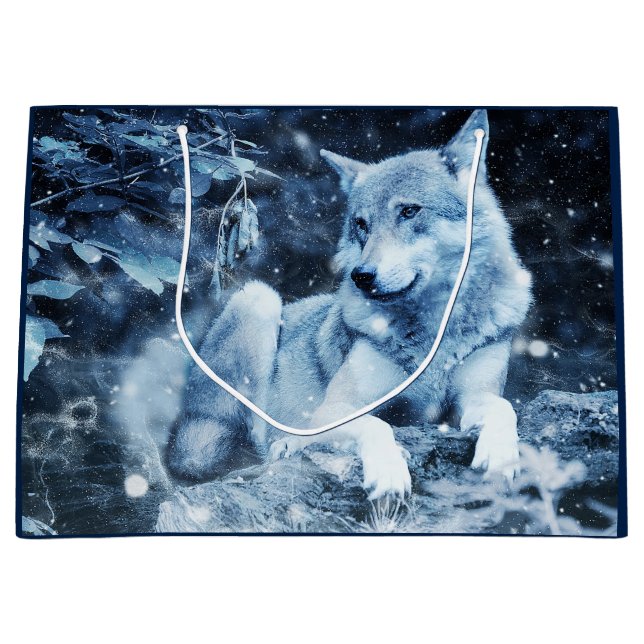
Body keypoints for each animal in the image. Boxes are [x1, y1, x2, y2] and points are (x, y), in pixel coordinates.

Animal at [167, 109, 532, 500]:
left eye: (409, 211)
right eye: (361, 224)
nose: (362, 275)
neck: (432, 329)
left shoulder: (472, 399)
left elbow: (504, 407)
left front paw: (501, 454)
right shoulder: (335, 409)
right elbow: (376, 426)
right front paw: (389, 471)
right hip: (259, 299)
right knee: (256, 440)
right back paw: (289, 444)